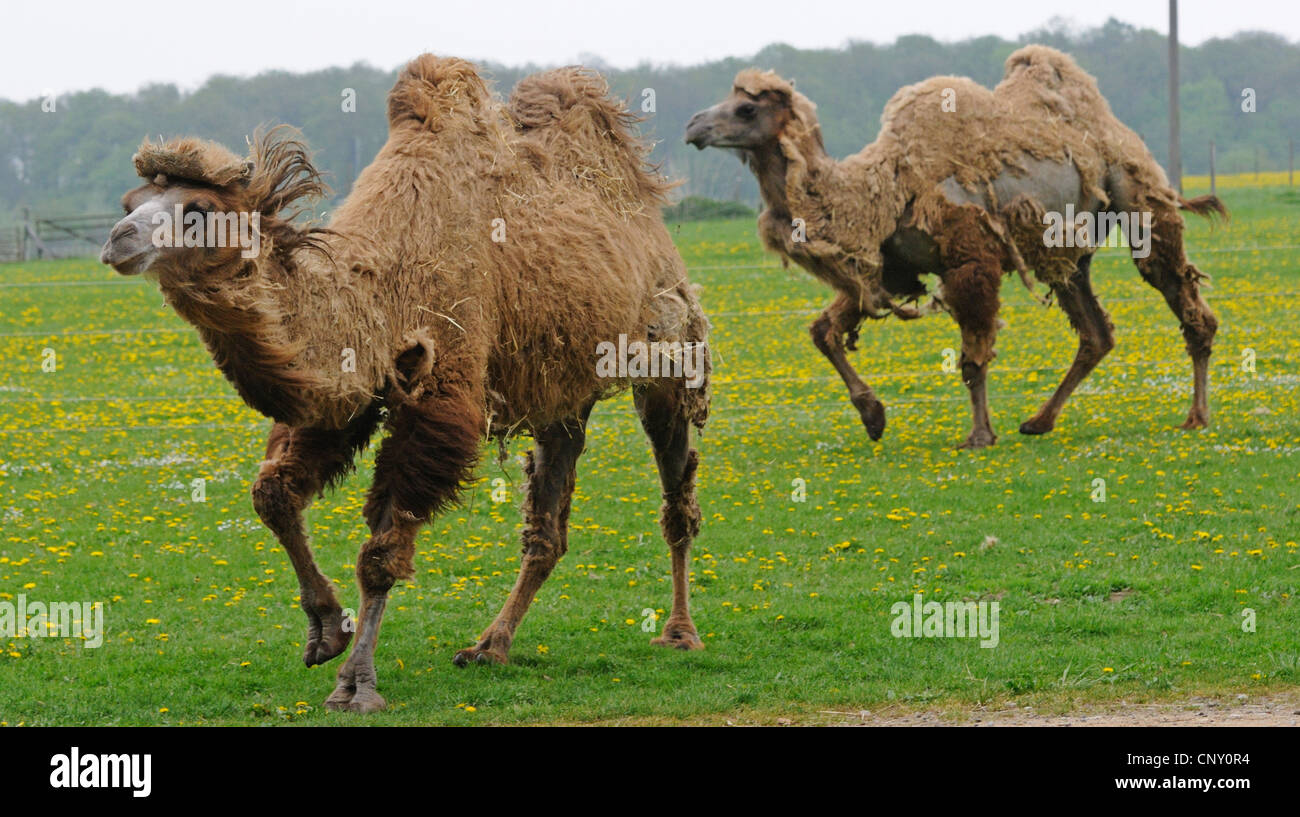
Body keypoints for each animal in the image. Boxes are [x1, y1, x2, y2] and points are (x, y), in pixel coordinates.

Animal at [101, 57, 712, 712]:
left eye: (196, 209)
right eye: (131, 200)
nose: (116, 240)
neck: (380, 289)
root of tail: (648, 208)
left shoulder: (441, 401)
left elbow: (381, 554)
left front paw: (357, 685)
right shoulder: (348, 396)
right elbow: (273, 496)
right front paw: (326, 629)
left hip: (669, 351)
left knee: (677, 498)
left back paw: (680, 633)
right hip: (561, 394)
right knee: (546, 529)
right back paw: (490, 645)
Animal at [686, 46, 1222, 447]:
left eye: (746, 108)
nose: (693, 125)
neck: (882, 190)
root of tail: (1118, 131)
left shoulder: (970, 258)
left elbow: (972, 356)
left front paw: (979, 435)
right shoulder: (887, 270)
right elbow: (824, 332)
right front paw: (874, 416)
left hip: (1140, 202)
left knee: (1183, 298)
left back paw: (1196, 415)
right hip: (1066, 249)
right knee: (1096, 333)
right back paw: (1039, 420)